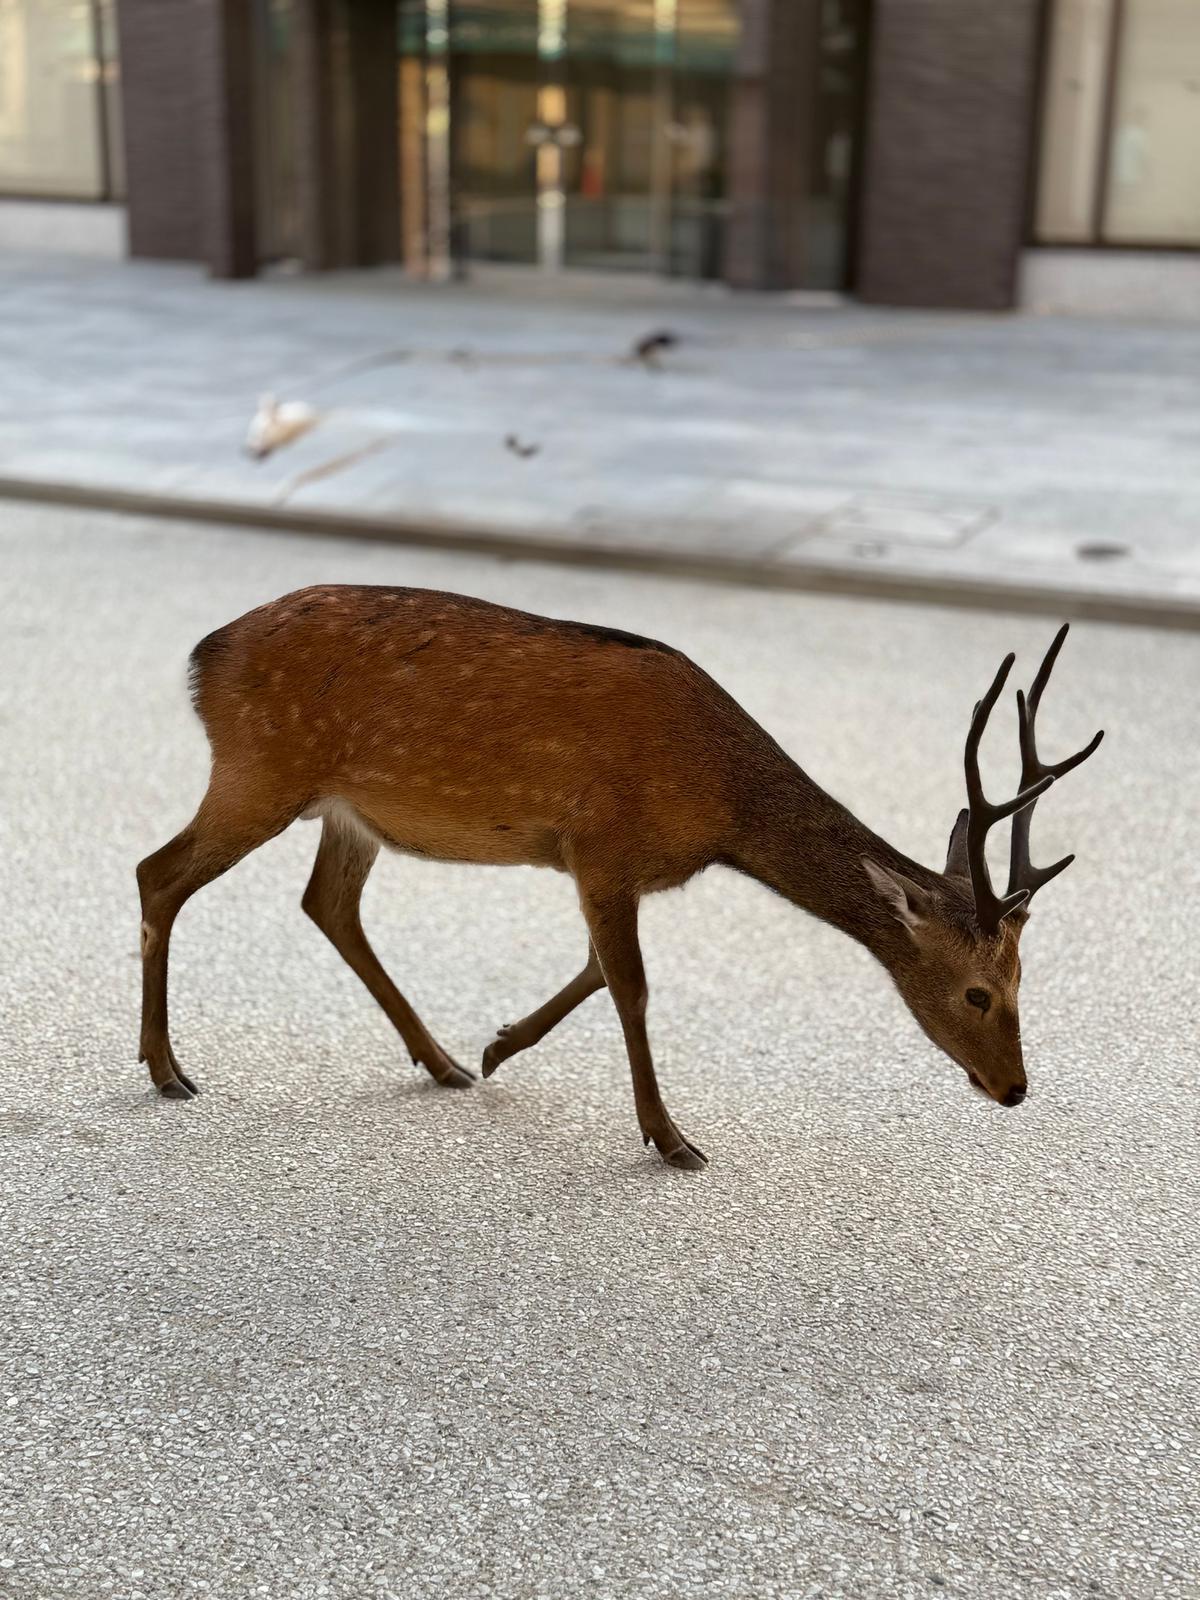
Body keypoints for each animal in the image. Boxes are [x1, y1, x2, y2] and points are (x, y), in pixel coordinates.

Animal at [137, 588, 1103, 1169]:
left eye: (1025, 979)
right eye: (980, 992)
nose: (1014, 1088)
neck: (720, 803)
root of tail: (199, 660)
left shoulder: (614, 867)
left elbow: (598, 970)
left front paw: (498, 1046)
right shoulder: (600, 841)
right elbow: (631, 985)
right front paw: (670, 1138)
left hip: (347, 809)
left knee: (326, 903)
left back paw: (442, 1060)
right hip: (263, 766)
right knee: (159, 872)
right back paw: (167, 1068)